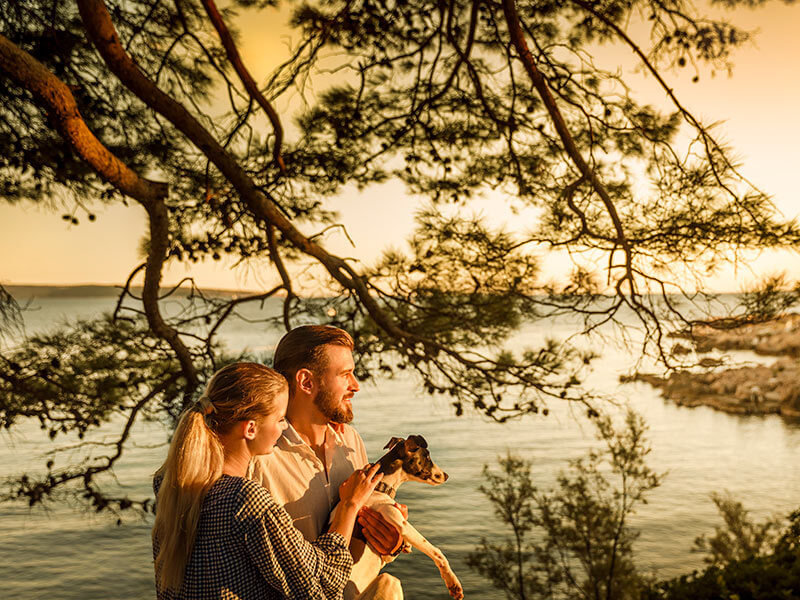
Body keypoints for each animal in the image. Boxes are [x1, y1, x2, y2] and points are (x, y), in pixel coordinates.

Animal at [338, 436, 462, 600]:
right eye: (427, 457)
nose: (446, 475)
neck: (380, 486)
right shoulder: (398, 519)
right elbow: (436, 552)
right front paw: (452, 581)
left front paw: (406, 545)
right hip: (388, 580)